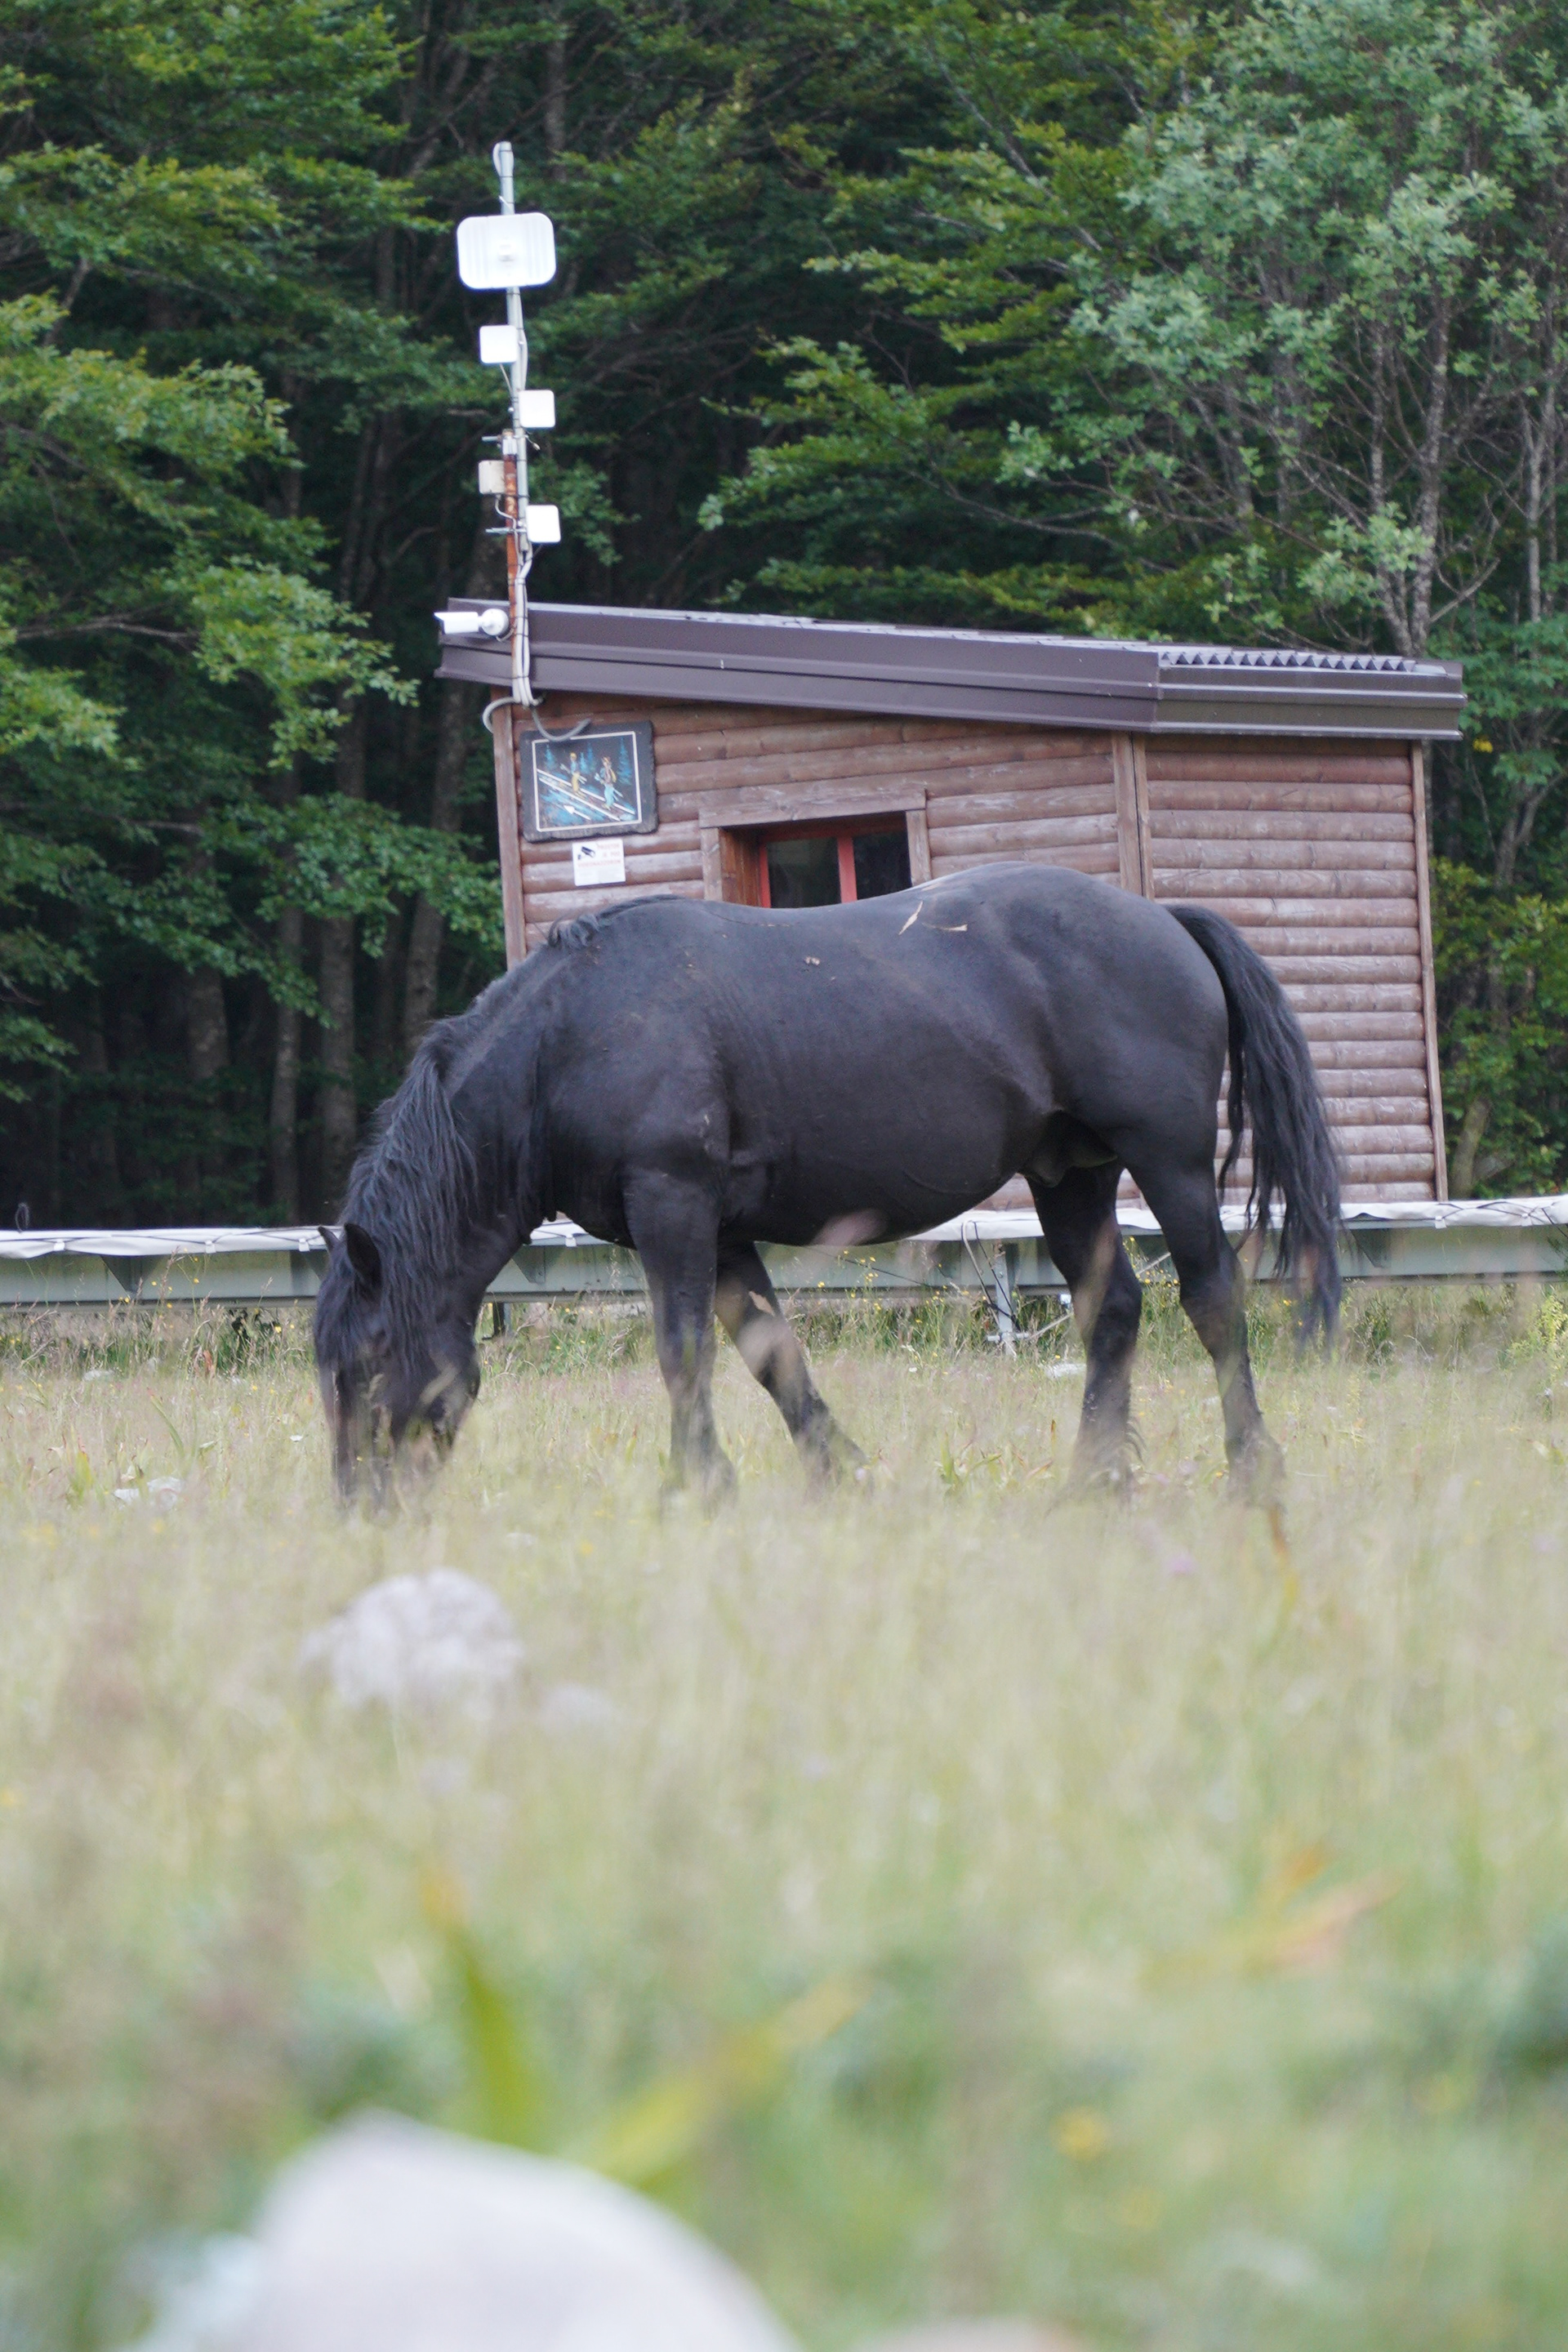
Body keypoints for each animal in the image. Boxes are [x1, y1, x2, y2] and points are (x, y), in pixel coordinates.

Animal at [313, 862, 1341, 1504]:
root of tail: (1166, 921)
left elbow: (684, 1353)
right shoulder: (721, 1232)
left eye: (371, 1360)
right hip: (1068, 1172)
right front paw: (843, 1472)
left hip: (1168, 1160)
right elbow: (773, 1356)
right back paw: (1095, 1483)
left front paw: (699, 1486)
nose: (364, 1509)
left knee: (1212, 1299)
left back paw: (1253, 1469)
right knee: (1113, 1310)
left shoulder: (674, 1207)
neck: (572, 1038)